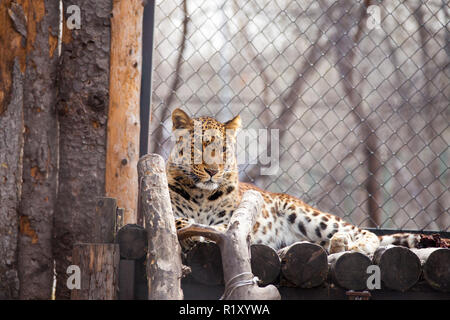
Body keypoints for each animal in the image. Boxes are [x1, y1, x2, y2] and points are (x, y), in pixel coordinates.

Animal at [166, 109, 422, 256]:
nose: (212, 171)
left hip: (306, 215)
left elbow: (219, 228)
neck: (202, 196)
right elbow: (179, 222)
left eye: (224, 150)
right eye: (197, 147)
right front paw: (193, 232)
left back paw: (354, 245)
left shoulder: (234, 220)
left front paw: (204, 232)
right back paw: (337, 244)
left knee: (363, 232)